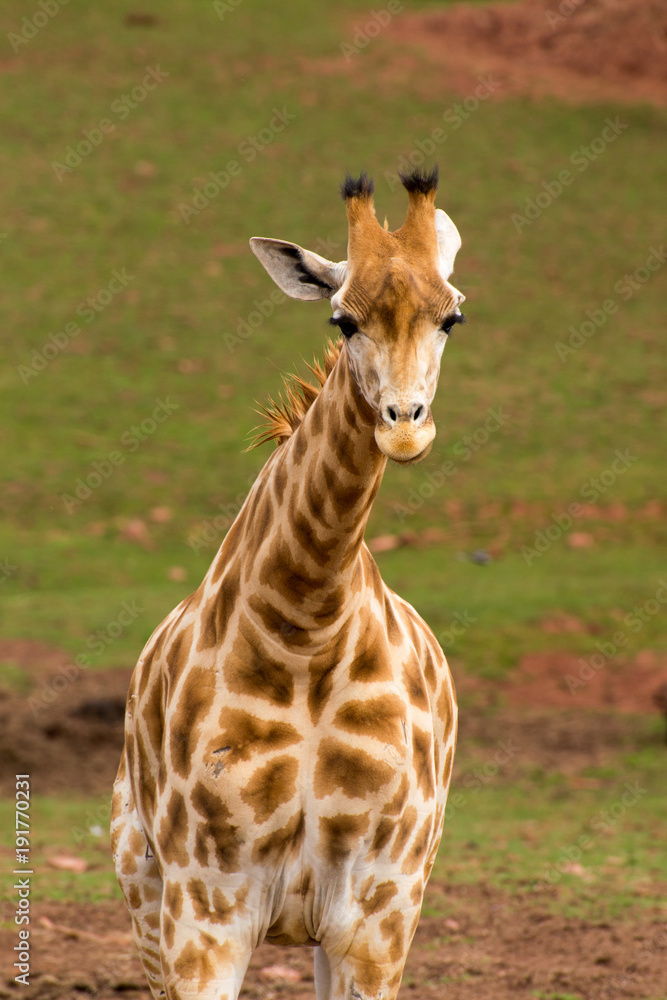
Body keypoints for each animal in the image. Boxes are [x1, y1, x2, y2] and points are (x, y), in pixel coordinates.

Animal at [111, 165, 465, 1000]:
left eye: (451, 318)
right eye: (343, 321)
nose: (406, 425)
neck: (307, 627)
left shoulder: (378, 910)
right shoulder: (205, 904)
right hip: (142, 887)